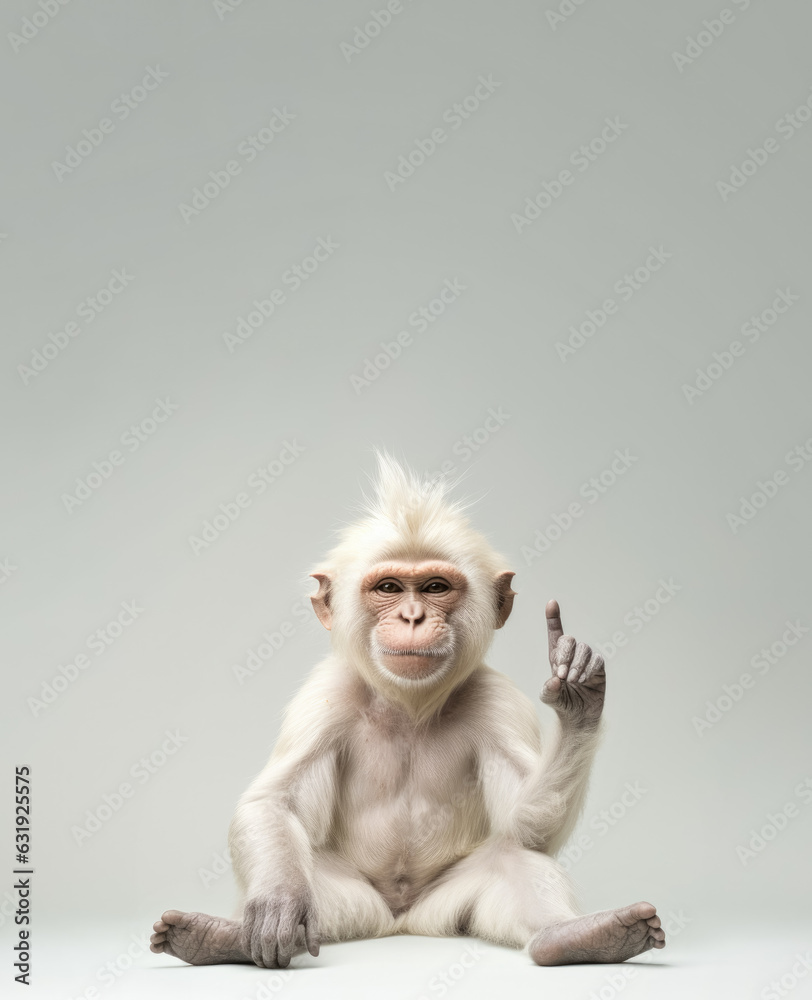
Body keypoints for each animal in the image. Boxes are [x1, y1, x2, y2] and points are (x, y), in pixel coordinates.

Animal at [150, 455, 665, 968]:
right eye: (389, 587)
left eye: (435, 587)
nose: (412, 617)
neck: (409, 707)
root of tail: (400, 921)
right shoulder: (324, 698)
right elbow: (273, 804)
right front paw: (278, 901)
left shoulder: (498, 702)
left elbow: (529, 829)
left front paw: (577, 697)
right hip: (360, 905)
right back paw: (222, 935)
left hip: (443, 908)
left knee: (513, 856)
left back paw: (576, 936)